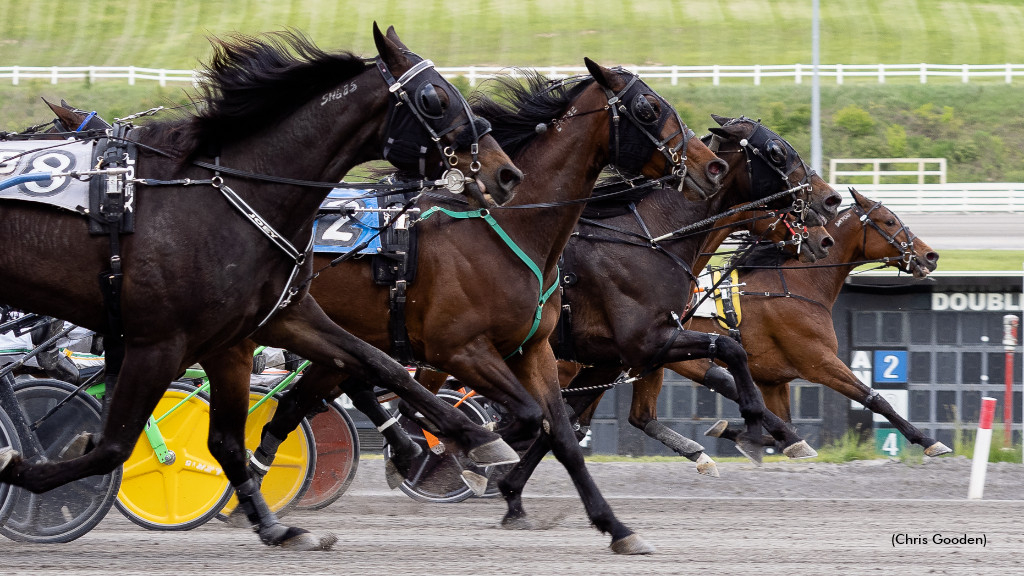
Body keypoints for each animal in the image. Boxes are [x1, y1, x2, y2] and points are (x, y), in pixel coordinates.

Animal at [0, 26, 524, 545]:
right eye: (433, 97)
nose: (505, 172)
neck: (222, 195)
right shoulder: (157, 341)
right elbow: (112, 445)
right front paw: (21, 469)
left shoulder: (263, 324)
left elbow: (373, 367)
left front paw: (476, 440)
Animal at [232, 59, 729, 553]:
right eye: (648, 107)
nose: (713, 166)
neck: (506, 229)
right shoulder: (460, 349)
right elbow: (520, 419)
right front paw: (470, 461)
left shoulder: (538, 348)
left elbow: (563, 435)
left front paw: (615, 527)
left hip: (330, 337)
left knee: (300, 402)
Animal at [667, 186, 946, 455]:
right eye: (889, 221)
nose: (930, 256)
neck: (798, 284)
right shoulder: (819, 362)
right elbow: (875, 399)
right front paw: (928, 440)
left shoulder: (773, 381)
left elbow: (785, 427)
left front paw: (739, 433)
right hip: (688, 361)